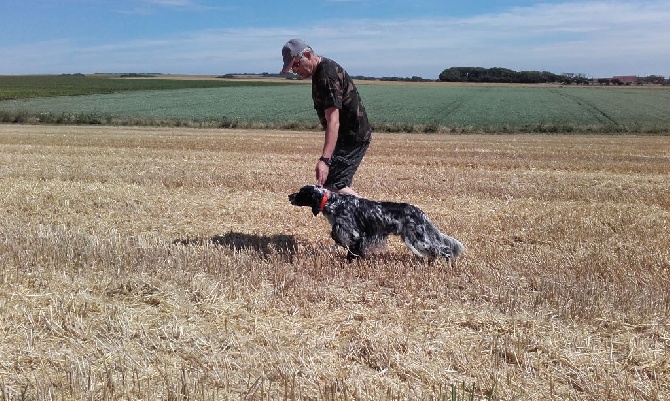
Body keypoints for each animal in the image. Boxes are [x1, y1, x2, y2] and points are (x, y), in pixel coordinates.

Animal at [288, 184, 468, 262]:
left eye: (301, 192)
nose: (289, 196)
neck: (333, 202)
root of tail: (420, 212)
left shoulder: (353, 233)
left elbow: (352, 248)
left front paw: (350, 262)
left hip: (419, 238)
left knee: (444, 249)